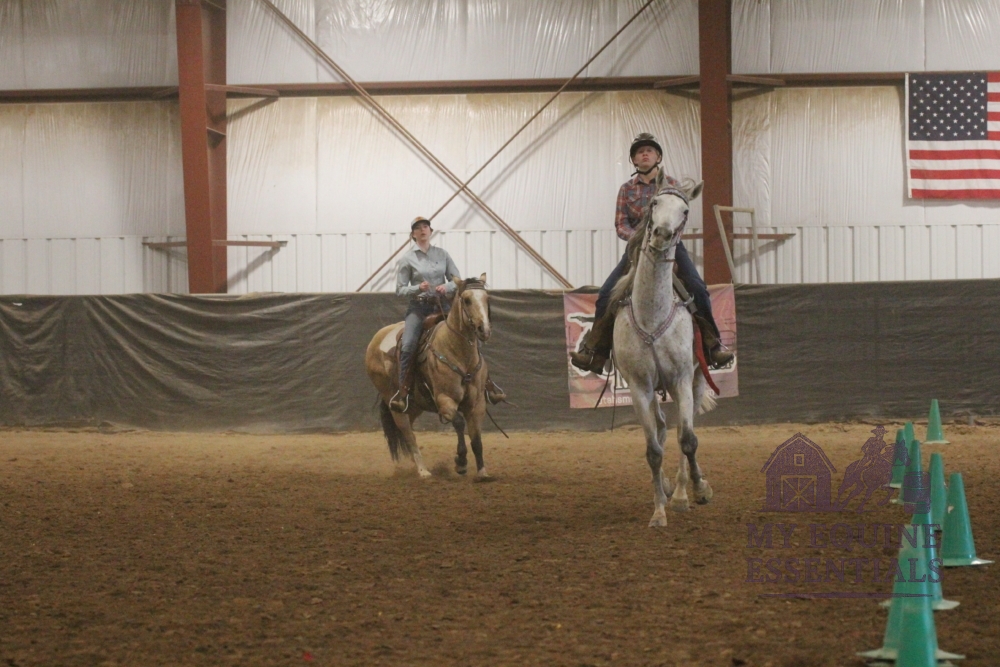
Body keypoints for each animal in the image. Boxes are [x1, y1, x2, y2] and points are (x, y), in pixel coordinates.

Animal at [365, 274, 493, 479]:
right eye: (466, 300)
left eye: (487, 298)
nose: (484, 330)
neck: (458, 352)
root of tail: (376, 340)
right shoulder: (444, 399)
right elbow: (458, 422)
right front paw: (461, 462)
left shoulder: (477, 403)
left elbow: (477, 438)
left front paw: (482, 471)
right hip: (395, 405)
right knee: (408, 434)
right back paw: (423, 470)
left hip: (415, 405)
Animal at [608, 173, 717, 527]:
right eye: (654, 203)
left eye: (685, 211)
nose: (662, 234)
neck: (652, 314)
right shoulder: (639, 386)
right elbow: (654, 449)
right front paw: (658, 511)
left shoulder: (681, 379)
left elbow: (688, 440)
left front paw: (699, 489)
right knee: (661, 428)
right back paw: (670, 489)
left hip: (696, 381)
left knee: (686, 428)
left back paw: (683, 492)